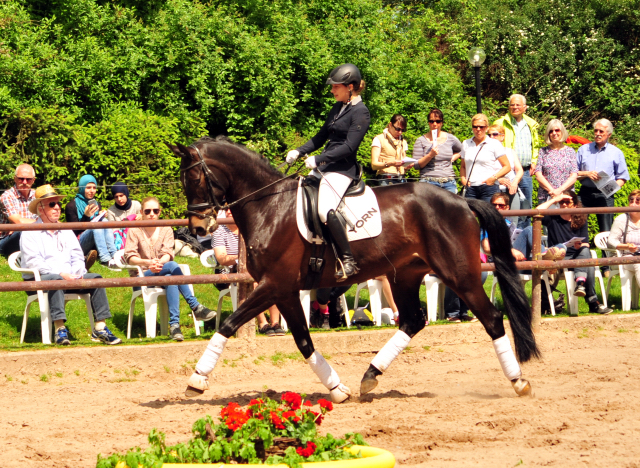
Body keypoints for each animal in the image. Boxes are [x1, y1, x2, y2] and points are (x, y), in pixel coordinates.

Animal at [169, 135, 540, 402]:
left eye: (196, 178)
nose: (198, 228)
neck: (270, 207)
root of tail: (462, 200)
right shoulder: (285, 291)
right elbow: (303, 341)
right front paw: (337, 389)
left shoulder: (274, 285)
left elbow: (228, 324)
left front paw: (196, 380)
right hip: (405, 275)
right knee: (412, 320)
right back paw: (369, 377)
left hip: (459, 275)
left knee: (492, 319)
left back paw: (519, 382)